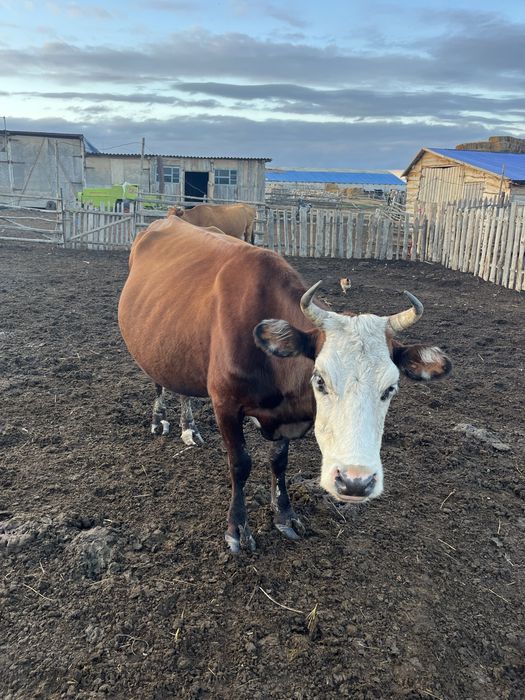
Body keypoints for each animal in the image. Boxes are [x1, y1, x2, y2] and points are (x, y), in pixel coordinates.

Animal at [118, 216, 451, 553]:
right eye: (320, 380)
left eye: (390, 388)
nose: (355, 481)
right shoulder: (225, 403)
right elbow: (240, 464)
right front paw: (237, 528)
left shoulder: (285, 416)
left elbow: (279, 461)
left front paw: (284, 514)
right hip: (151, 350)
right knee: (159, 383)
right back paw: (159, 420)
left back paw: (190, 428)